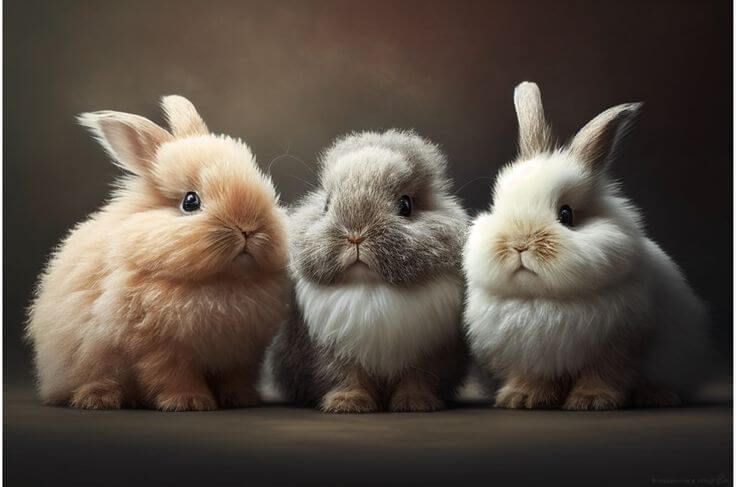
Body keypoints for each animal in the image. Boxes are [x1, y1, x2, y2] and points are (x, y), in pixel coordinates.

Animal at [26, 95, 289, 411]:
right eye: (190, 202)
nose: (249, 228)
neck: (223, 282)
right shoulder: (158, 349)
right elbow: (172, 376)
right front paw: (188, 402)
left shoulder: (240, 354)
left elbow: (234, 378)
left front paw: (242, 400)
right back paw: (99, 398)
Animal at [270, 130, 469, 413]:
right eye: (327, 204)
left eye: (405, 205)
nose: (355, 235)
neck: (369, 288)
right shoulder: (332, 354)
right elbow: (345, 377)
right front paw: (347, 403)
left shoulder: (426, 355)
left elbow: (417, 379)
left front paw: (415, 403)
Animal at [463, 81, 712, 410]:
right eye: (497, 206)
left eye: (566, 214)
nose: (520, 244)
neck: (544, 300)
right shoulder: (532, 355)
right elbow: (534, 377)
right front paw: (522, 398)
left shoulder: (622, 343)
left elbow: (604, 374)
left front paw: (591, 401)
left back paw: (658, 397)